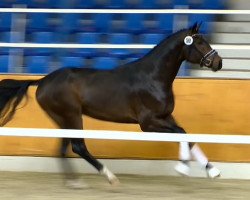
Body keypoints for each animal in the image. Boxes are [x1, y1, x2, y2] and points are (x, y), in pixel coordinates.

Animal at [0, 23, 223, 188]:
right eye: (200, 42)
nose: (218, 62)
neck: (153, 77)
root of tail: (42, 81)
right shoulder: (148, 123)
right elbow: (182, 133)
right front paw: (183, 168)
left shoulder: (166, 117)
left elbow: (187, 135)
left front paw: (213, 171)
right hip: (72, 115)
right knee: (78, 146)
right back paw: (110, 177)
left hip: (63, 119)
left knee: (63, 148)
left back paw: (74, 182)